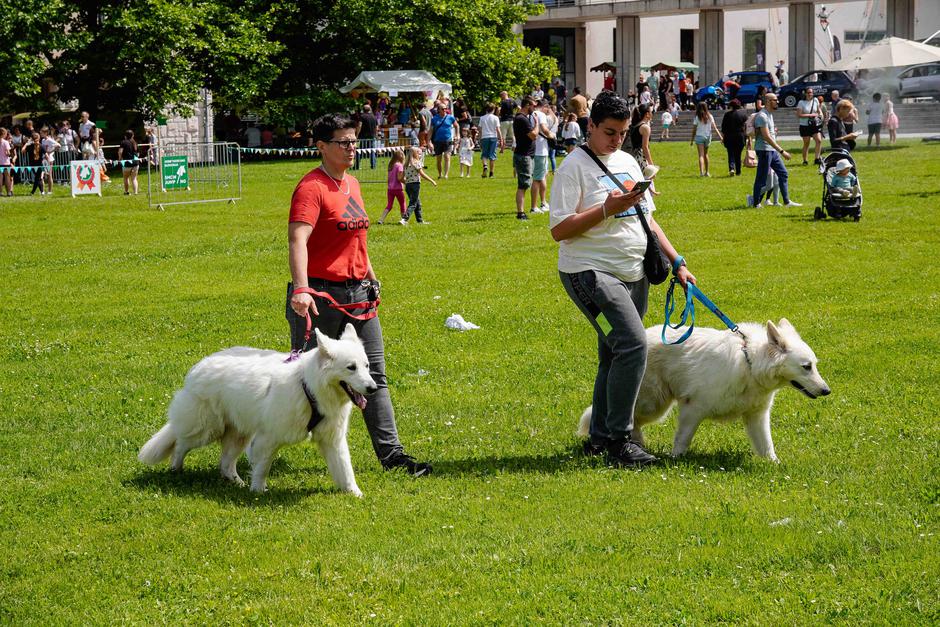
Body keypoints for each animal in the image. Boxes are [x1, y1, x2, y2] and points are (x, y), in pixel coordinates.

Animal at [140, 324, 374, 496]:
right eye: (351, 368)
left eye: (367, 366)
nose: (374, 388)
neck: (309, 388)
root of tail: (200, 366)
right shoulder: (267, 438)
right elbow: (263, 467)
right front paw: (258, 491)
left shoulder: (332, 440)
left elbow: (345, 469)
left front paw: (355, 494)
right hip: (206, 429)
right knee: (181, 444)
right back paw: (175, 469)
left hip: (238, 434)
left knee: (225, 463)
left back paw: (237, 483)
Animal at [580, 318, 828, 462]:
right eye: (806, 367)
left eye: (814, 365)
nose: (827, 391)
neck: (750, 363)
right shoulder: (693, 410)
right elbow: (682, 440)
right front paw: (675, 461)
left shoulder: (757, 417)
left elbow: (767, 446)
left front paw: (774, 465)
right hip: (653, 403)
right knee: (629, 417)